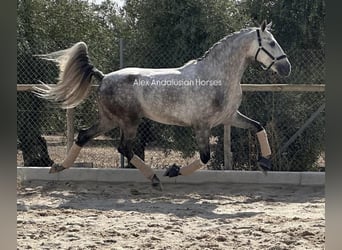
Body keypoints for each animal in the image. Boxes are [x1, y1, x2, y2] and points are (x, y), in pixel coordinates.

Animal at [35, 21, 292, 189]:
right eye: (271, 43)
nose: (286, 67)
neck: (217, 76)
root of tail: (104, 77)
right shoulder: (202, 126)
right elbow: (205, 157)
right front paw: (173, 170)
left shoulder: (229, 117)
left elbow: (258, 126)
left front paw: (265, 163)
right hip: (129, 121)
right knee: (124, 148)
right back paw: (155, 179)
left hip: (110, 120)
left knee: (84, 136)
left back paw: (58, 167)